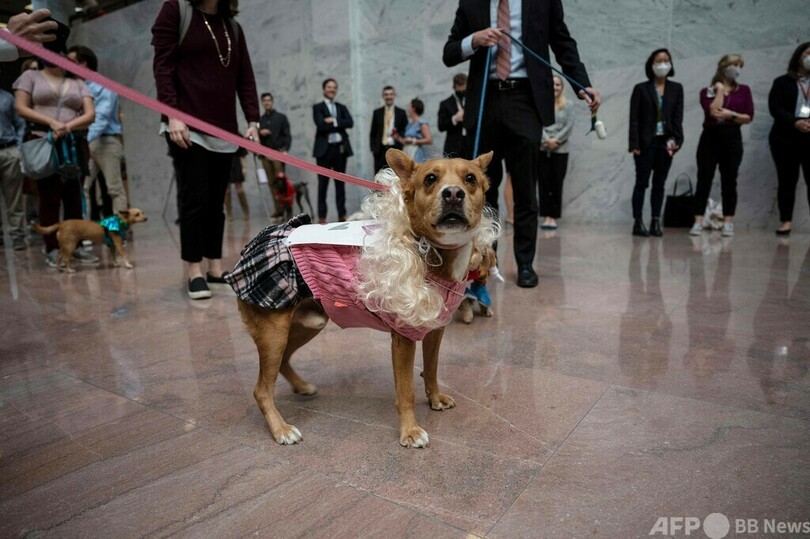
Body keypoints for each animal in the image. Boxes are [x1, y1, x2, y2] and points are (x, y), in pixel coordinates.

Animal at [229, 150, 498, 450]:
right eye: (430, 179)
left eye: (470, 178)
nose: (453, 193)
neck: (428, 248)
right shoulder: (403, 339)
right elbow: (406, 390)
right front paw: (410, 431)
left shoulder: (435, 330)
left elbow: (431, 368)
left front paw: (435, 397)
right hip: (274, 333)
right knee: (262, 389)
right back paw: (281, 429)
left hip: (306, 324)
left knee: (284, 360)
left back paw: (301, 386)